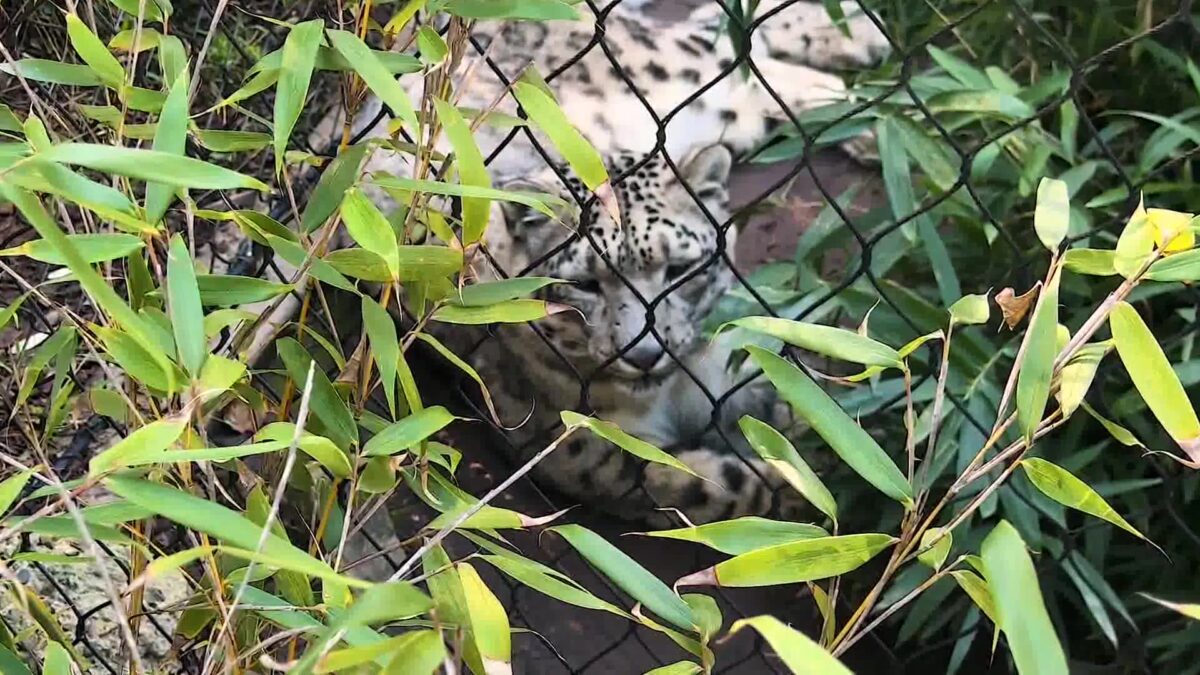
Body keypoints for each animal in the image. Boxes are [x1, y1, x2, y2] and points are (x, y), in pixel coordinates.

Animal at [249, 0, 890, 525]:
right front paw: (803, 483)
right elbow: (699, 484)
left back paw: (866, 69)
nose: (645, 354)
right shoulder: (584, 450)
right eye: (584, 284)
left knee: (726, 52)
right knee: (737, 67)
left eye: (679, 270)